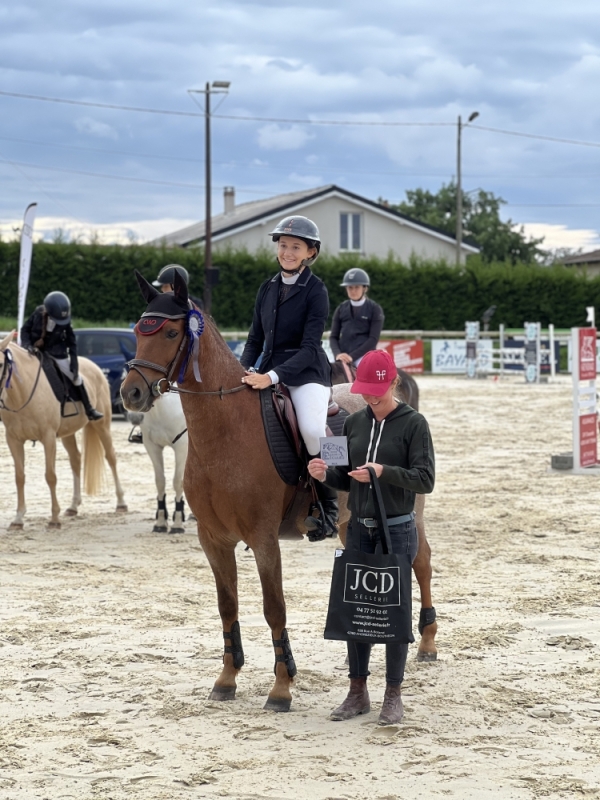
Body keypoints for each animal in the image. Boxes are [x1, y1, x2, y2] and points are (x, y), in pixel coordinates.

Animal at [0, 328, 126, 528]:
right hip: (68, 433)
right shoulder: (13, 440)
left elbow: (50, 476)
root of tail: (94, 366)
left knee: (111, 457)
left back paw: (121, 503)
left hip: (102, 425)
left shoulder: (48, 438)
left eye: (0, 364)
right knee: (76, 459)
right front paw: (18, 518)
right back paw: (73, 507)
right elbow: (19, 476)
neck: (23, 393)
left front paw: (54, 519)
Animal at [126, 390, 190, 536]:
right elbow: (160, 481)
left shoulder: (182, 447)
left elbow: (178, 482)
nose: (136, 417)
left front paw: (178, 523)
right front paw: (160, 522)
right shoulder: (152, 446)